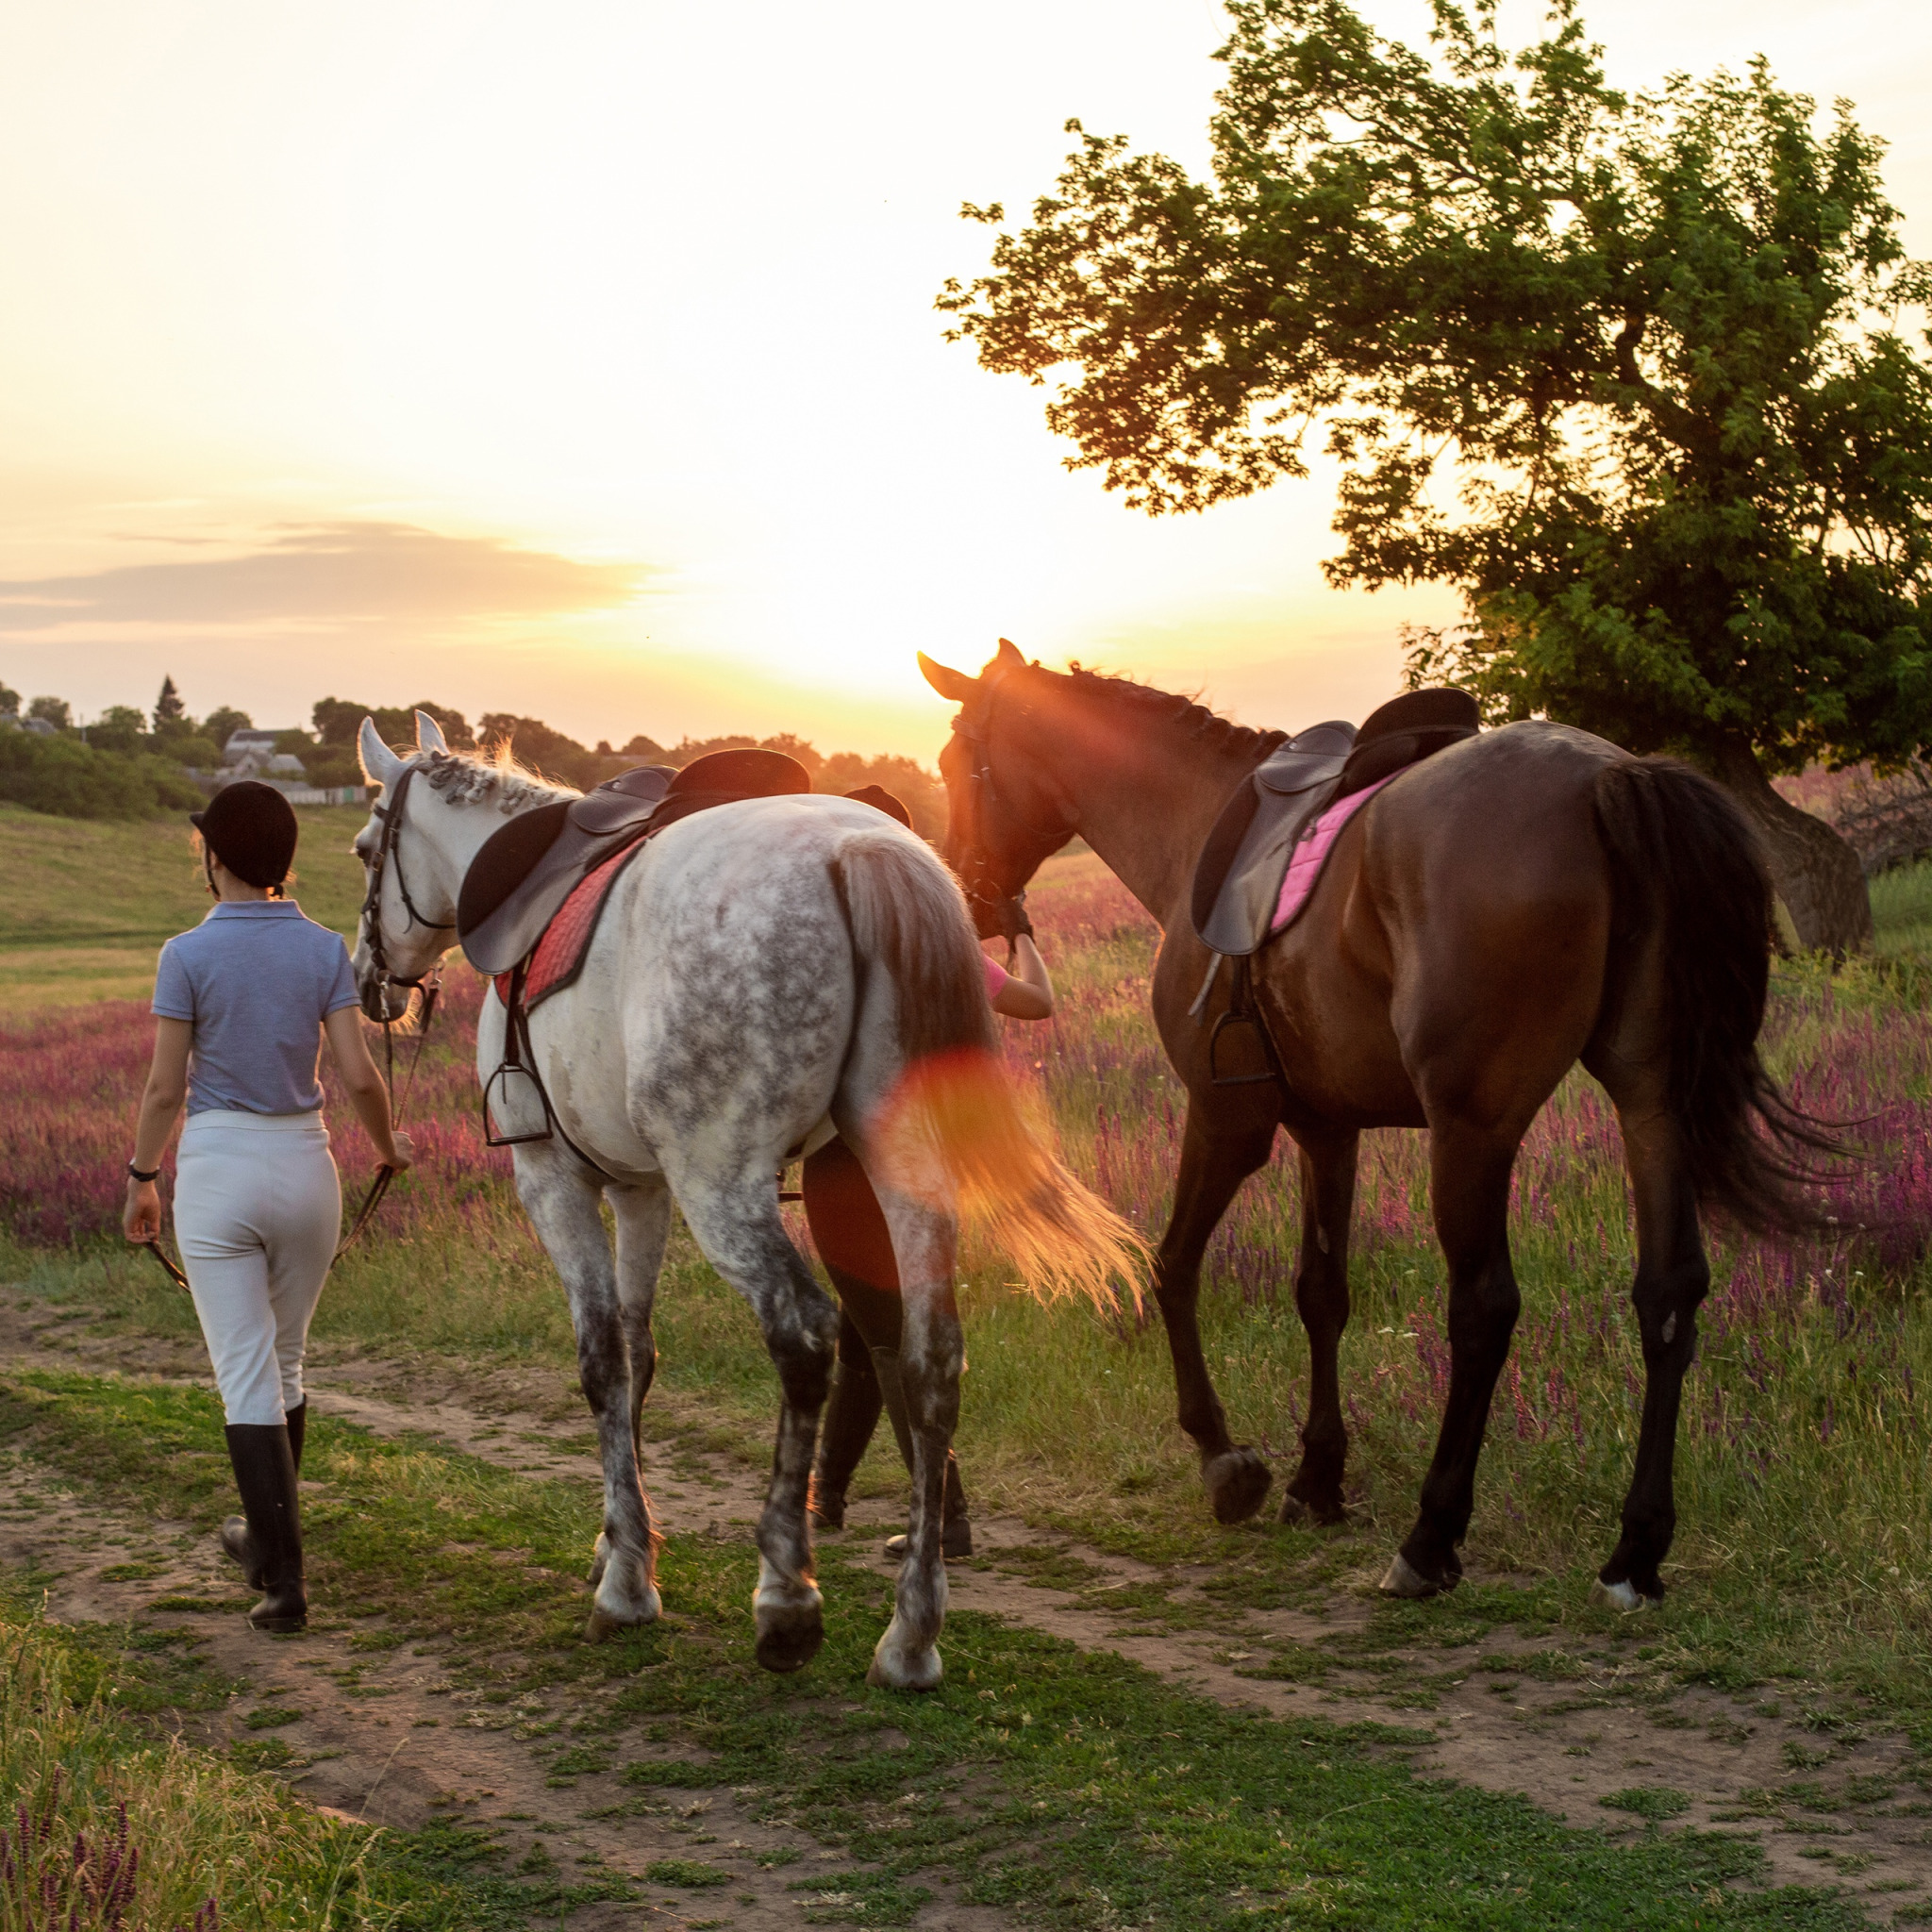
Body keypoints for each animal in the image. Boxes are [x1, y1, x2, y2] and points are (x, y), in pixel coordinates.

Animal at [919, 641, 1824, 1607]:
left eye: (954, 764)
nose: (967, 895)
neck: (1196, 823)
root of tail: (1611, 775)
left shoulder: (1227, 1119)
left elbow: (1171, 1267)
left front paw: (1225, 1461)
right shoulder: (1327, 1131)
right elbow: (1322, 1293)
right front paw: (1318, 1478)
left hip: (1473, 1130)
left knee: (1484, 1308)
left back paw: (1431, 1537)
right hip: (1651, 1103)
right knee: (1668, 1293)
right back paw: (1635, 1551)